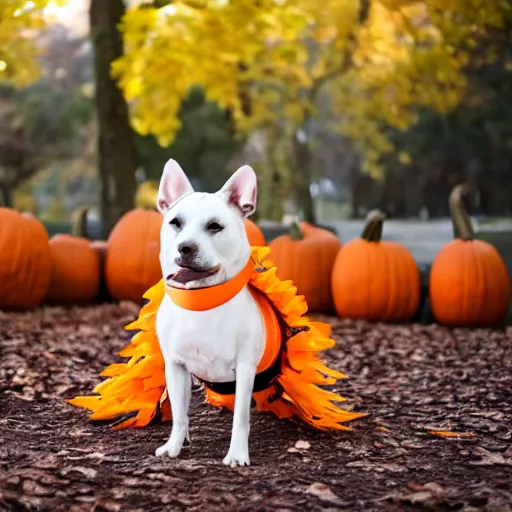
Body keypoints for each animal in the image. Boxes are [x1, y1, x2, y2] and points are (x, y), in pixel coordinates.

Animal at [153, 158, 264, 466]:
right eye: (175, 223)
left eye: (215, 227)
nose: (185, 247)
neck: (200, 299)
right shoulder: (175, 367)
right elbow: (179, 414)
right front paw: (174, 445)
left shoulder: (245, 369)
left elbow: (240, 417)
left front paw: (237, 454)